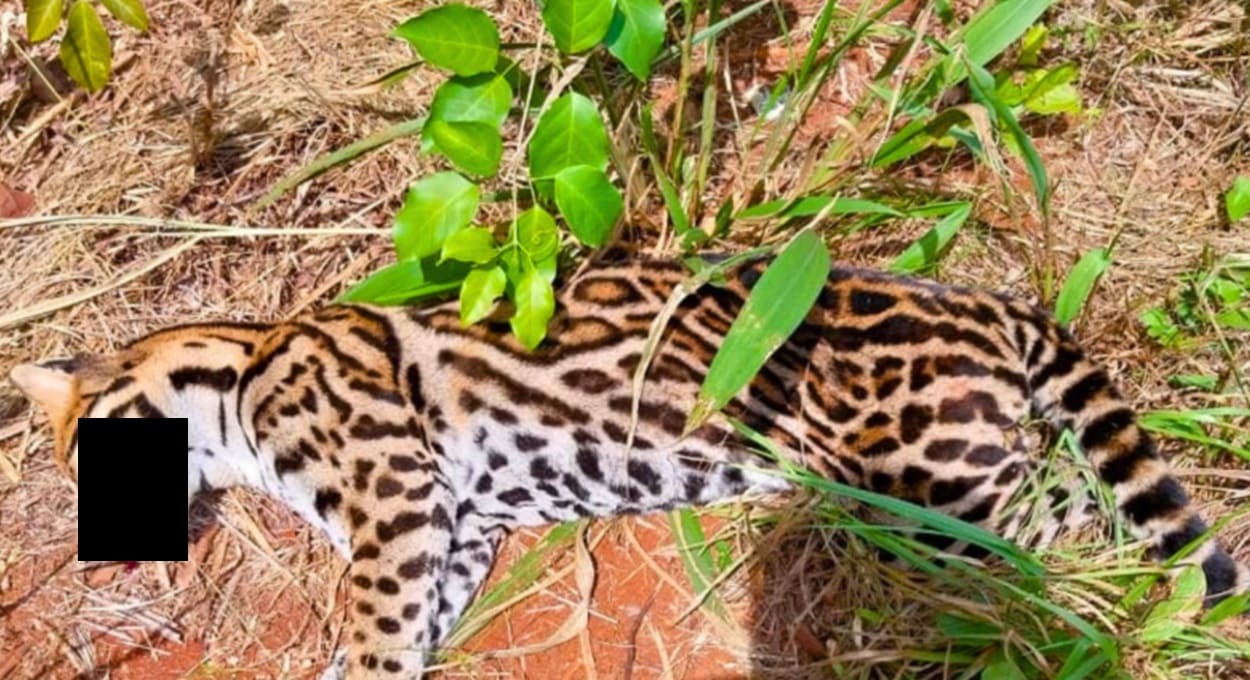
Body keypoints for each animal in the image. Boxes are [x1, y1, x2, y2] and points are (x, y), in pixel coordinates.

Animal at [12, 252, 1250, 675]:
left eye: (85, 454)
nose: (96, 546)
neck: (242, 371)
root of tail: (982, 302)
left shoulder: (396, 496)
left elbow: (374, 624)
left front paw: (357, 669)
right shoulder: (457, 522)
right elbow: (416, 618)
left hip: (934, 482)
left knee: (1076, 535)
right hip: (961, 472)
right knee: (1077, 493)